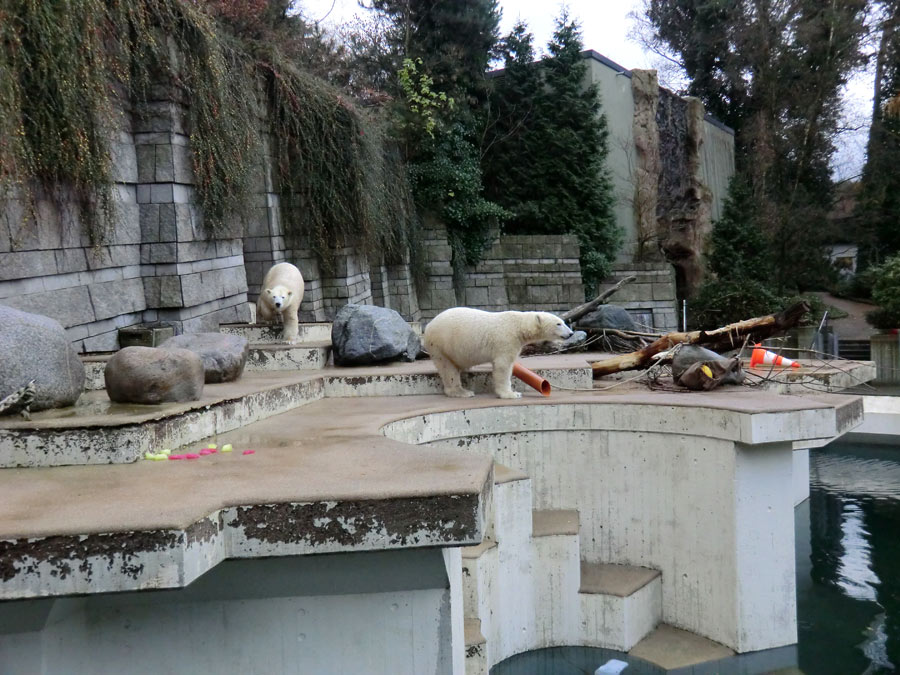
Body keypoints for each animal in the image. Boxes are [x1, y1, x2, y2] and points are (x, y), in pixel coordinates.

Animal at [426, 308, 572, 398]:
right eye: (558, 324)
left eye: (564, 322)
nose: (571, 333)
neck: (518, 326)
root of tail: (428, 326)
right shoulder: (506, 340)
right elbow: (503, 366)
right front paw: (512, 394)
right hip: (442, 345)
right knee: (448, 369)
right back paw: (462, 392)